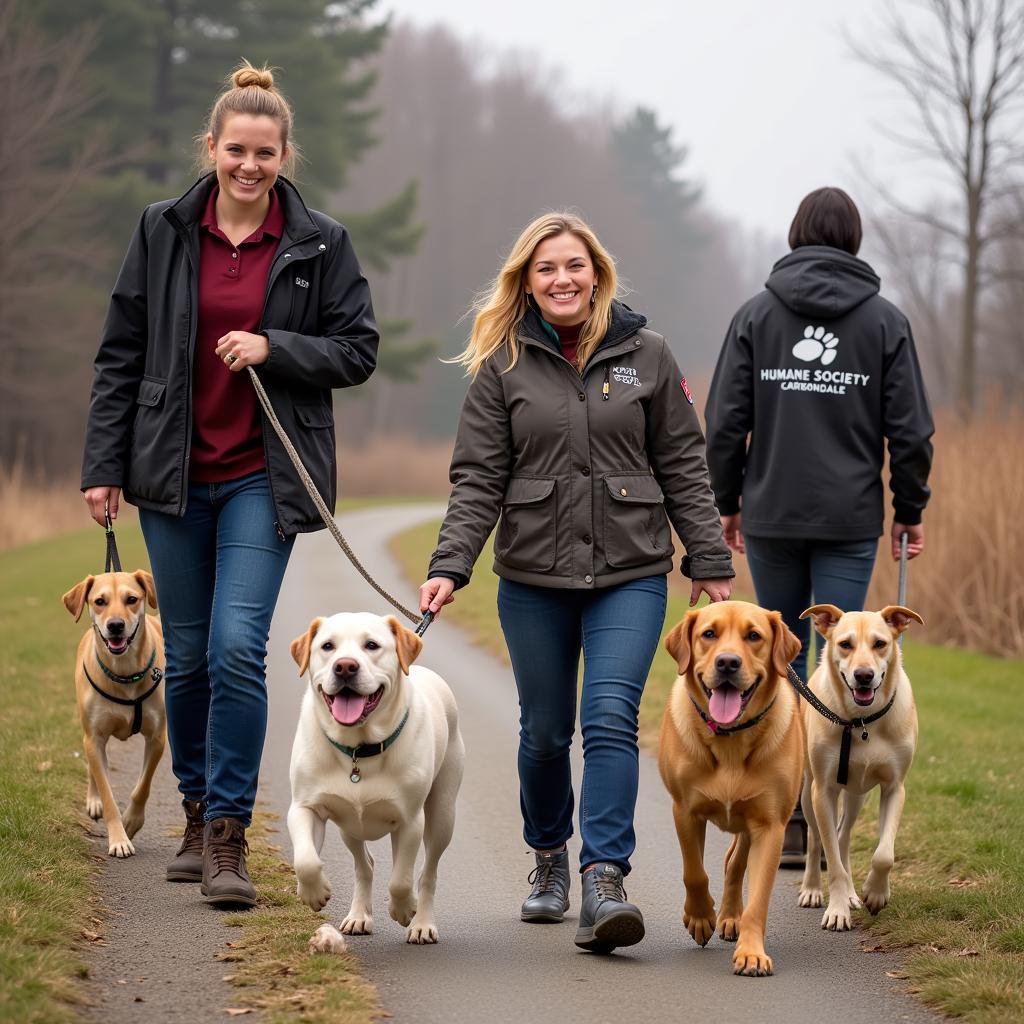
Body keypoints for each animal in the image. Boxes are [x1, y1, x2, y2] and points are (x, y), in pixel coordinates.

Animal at [62, 573, 165, 860]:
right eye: (100, 601)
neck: (125, 672)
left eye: (131, 599)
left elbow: (143, 786)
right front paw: (118, 839)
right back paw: (93, 799)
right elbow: (107, 793)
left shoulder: (157, 737)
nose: (116, 625)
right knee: (93, 766)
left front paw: (131, 821)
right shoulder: (94, 737)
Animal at [288, 614, 464, 942]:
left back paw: (422, 923)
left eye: (372, 645)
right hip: (349, 827)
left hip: (442, 814)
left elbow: (401, 880)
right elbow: (305, 860)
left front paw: (404, 909)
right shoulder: (304, 807)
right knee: (365, 865)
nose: (345, 666)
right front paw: (314, 893)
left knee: (427, 872)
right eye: (327, 646)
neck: (359, 749)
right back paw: (358, 916)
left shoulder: (410, 820)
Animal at [659, 598, 802, 974]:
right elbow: (694, 872)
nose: (727, 662)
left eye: (754, 636)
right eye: (709, 634)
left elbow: (759, 897)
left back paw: (730, 916)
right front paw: (699, 916)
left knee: (735, 861)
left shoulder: (770, 825)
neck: (731, 739)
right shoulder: (685, 810)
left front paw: (751, 951)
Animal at [794, 602, 925, 933]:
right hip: (809, 792)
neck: (863, 721)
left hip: (857, 794)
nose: (864, 675)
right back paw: (812, 889)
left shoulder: (894, 788)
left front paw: (874, 894)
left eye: (880, 643)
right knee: (816, 838)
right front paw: (838, 910)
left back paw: (853, 894)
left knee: (843, 836)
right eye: (845, 644)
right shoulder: (823, 792)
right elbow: (832, 861)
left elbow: (884, 855)